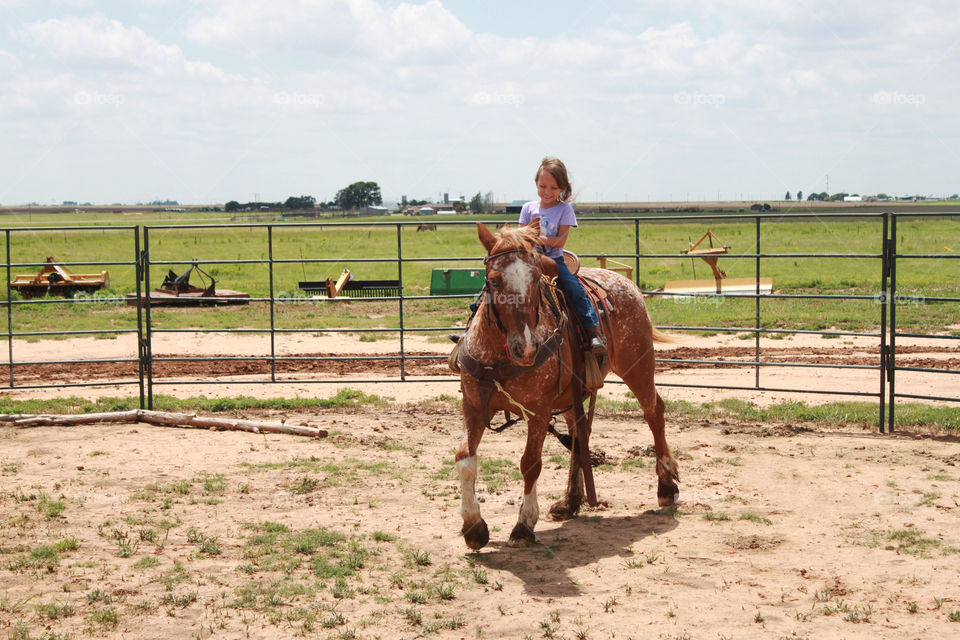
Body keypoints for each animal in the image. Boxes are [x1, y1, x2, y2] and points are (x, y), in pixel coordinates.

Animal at [454, 220, 680, 552]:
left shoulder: (538, 410)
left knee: (654, 412)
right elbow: (465, 459)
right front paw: (473, 527)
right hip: (574, 394)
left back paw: (666, 486)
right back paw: (571, 501)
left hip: (638, 366)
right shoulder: (473, 405)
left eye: (536, 279)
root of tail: (625, 282)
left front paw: (524, 525)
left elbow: (530, 463)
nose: (525, 347)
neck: (498, 356)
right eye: (493, 281)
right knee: (579, 435)